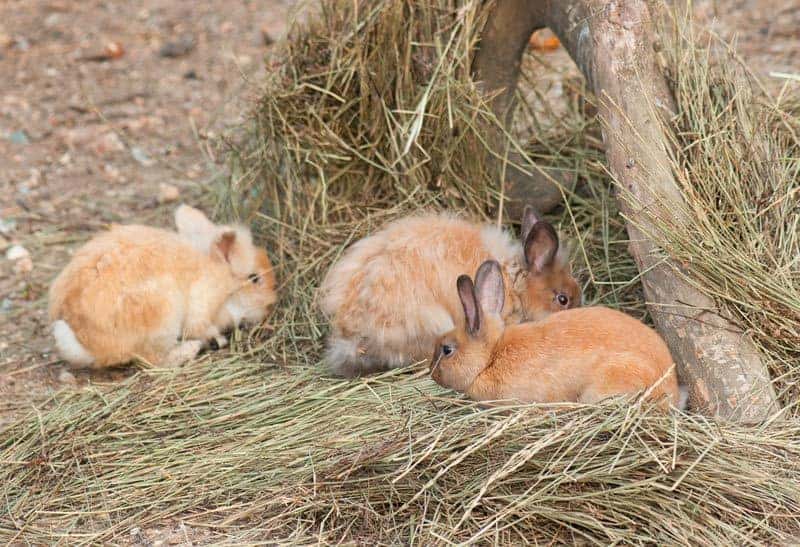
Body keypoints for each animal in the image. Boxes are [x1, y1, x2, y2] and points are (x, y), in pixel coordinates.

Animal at [48, 205, 276, 369]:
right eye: (255, 278)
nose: (271, 305)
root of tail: (80, 339)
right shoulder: (201, 305)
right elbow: (200, 327)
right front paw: (216, 339)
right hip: (164, 316)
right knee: (153, 360)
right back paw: (192, 349)